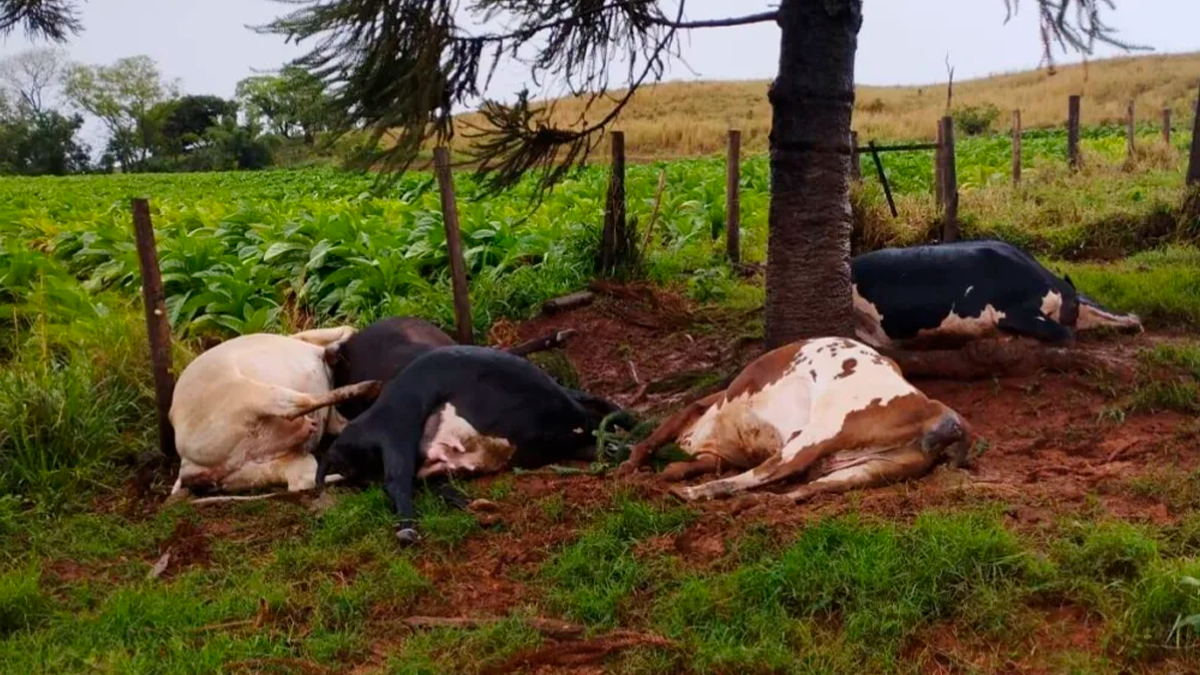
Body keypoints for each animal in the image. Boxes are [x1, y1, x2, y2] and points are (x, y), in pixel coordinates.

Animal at [168, 327, 382, 501]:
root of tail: (187, 466)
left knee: (303, 479)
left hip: (259, 469)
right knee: (297, 405)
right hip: (247, 393)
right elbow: (345, 330)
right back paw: (368, 387)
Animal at [616, 337, 970, 503]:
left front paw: (629, 469)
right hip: (868, 470)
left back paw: (689, 493)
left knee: (759, 474)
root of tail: (936, 410)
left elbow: (648, 444)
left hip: (816, 434)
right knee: (805, 489)